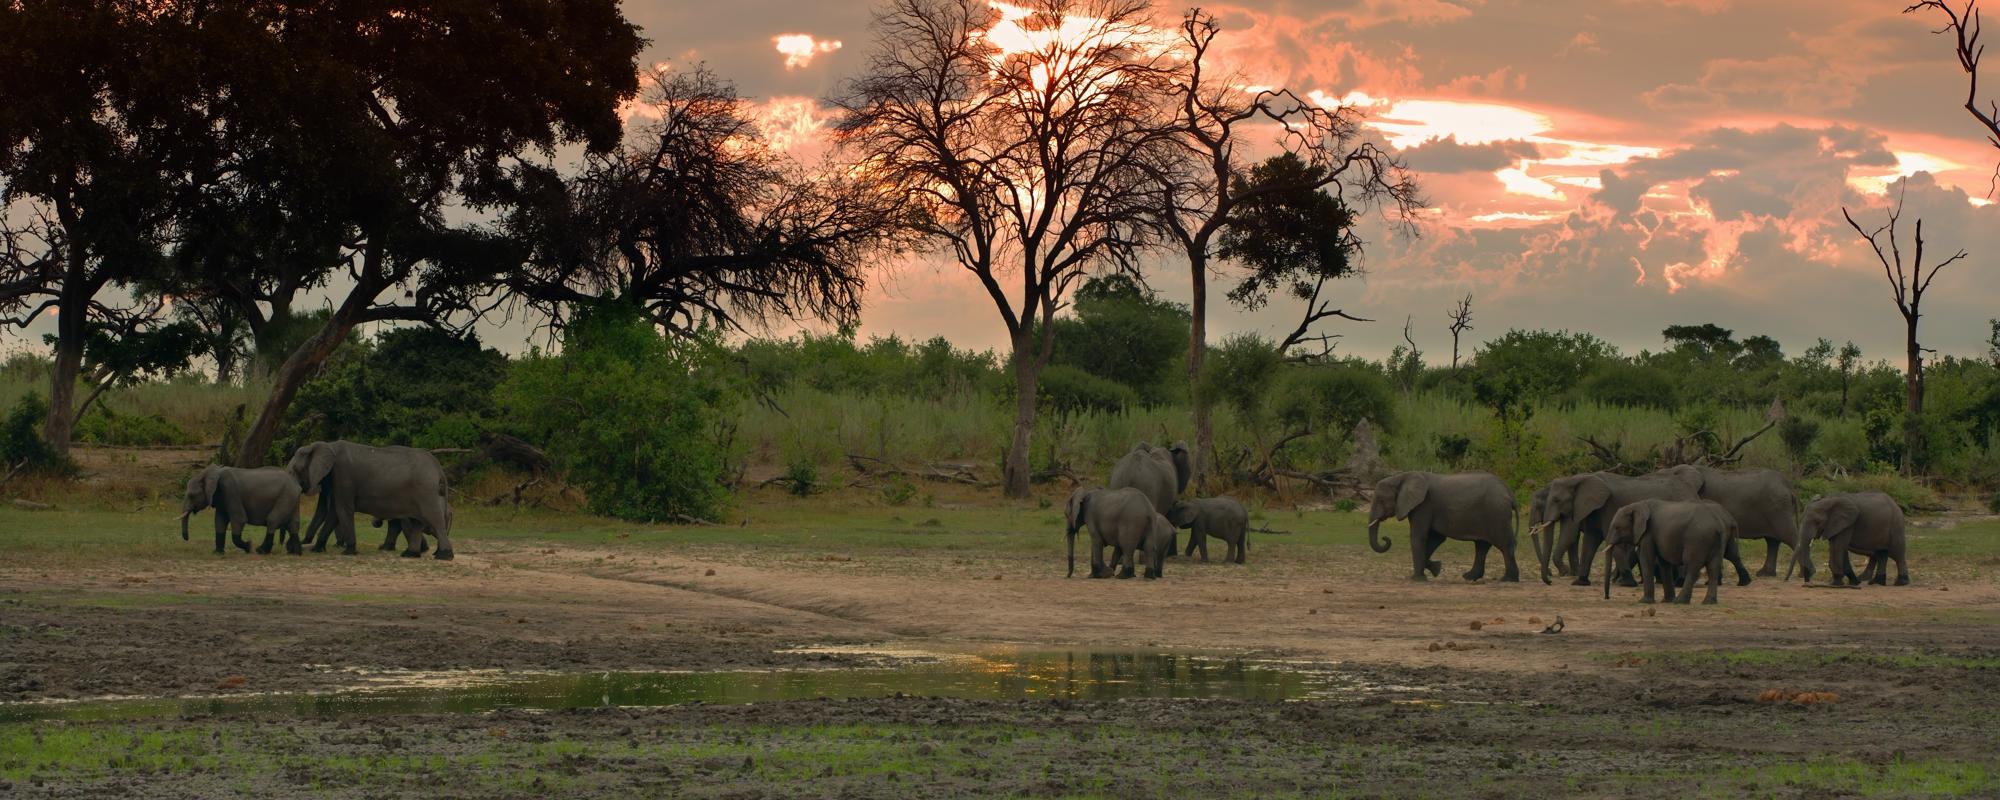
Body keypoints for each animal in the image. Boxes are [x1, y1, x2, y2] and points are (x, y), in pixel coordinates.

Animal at [288, 440, 456, 560]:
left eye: (295, 470)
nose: (301, 544)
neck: (327, 445)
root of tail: (438, 468)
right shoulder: (332, 479)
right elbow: (333, 512)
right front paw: (317, 549)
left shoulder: (343, 476)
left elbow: (343, 510)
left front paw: (348, 552)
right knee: (417, 523)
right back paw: (411, 555)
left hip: (425, 492)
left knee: (433, 520)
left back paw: (443, 556)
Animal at [1368, 468, 1520, 580]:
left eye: (1380, 500)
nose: (1385, 538)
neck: (1401, 477)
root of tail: (1509, 492)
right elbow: (1436, 539)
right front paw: (1436, 569)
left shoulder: (1424, 505)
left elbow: (1419, 537)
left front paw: (1417, 579)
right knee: (1482, 546)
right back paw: (1469, 577)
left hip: (1497, 514)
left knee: (1504, 545)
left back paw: (1507, 579)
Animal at [1536, 468, 1744, 588]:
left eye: (1556, 500)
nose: (1550, 580)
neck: (1581, 478)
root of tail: (1693, 492)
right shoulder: (1593, 509)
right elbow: (1590, 541)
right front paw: (1580, 582)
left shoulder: (1609, 507)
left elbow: (1614, 544)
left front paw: (1628, 583)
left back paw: (1680, 582)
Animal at [1600, 496, 1744, 604]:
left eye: (1617, 527)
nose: (1607, 597)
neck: (1637, 505)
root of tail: (1718, 525)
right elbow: (1664, 563)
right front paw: (1667, 600)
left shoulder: (1648, 533)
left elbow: (1646, 559)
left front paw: (1644, 602)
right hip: (1716, 541)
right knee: (1713, 568)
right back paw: (1708, 602)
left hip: (1697, 541)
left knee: (1692, 567)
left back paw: (1680, 601)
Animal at [1656, 462, 1816, 580]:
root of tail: (1789, 487)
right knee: (1772, 541)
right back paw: (1765, 574)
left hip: (1778, 509)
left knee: (1789, 537)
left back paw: (1805, 574)